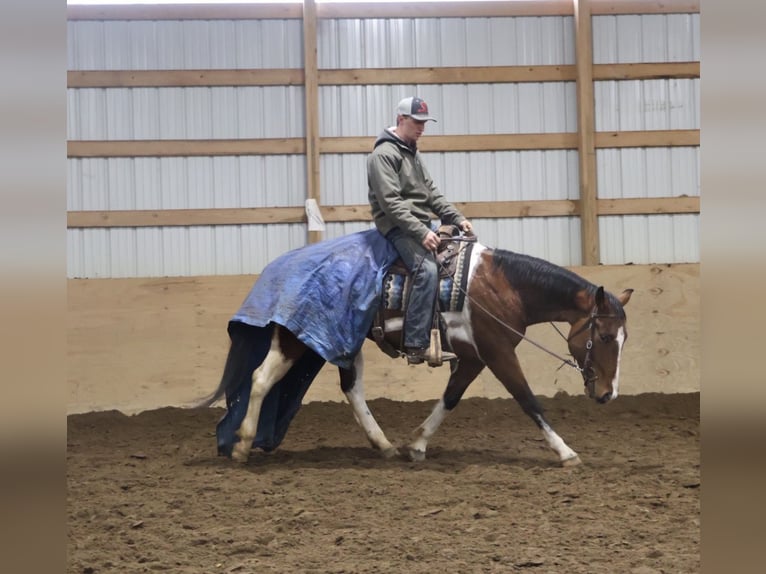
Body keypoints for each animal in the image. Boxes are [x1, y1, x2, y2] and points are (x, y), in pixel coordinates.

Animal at [199, 229, 632, 467]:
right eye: (605, 337)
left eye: (623, 338)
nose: (607, 394)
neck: (501, 286)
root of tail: (279, 267)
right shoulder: (498, 353)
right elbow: (529, 401)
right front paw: (565, 451)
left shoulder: (474, 357)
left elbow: (451, 399)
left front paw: (417, 444)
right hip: (294, 339)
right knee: (260, 378)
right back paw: (242, 444)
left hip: (342, 340)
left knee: (351, 389)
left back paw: (384, 445)